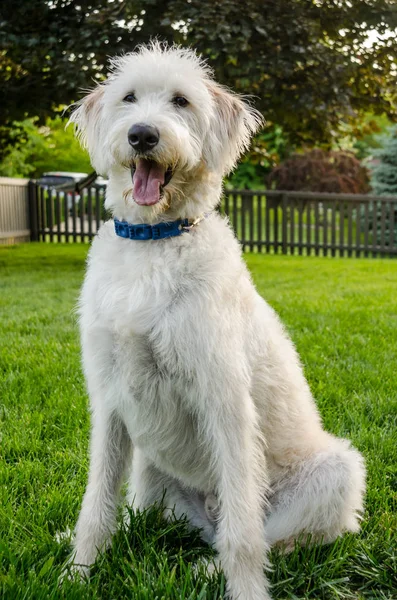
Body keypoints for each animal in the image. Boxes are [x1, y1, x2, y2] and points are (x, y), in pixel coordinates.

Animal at [69, 43, 366, 600]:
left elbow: (244, 536)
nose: (143, 135)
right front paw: (78, 570)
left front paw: (246, 589)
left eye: (182, 101)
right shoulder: (110, 401)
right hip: (151, 478)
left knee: (265, 536)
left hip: (337, 472)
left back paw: (210, 571)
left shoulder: (224, 400)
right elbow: (97, 502)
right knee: (145, 518)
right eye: (129, 97)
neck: (155, 243)